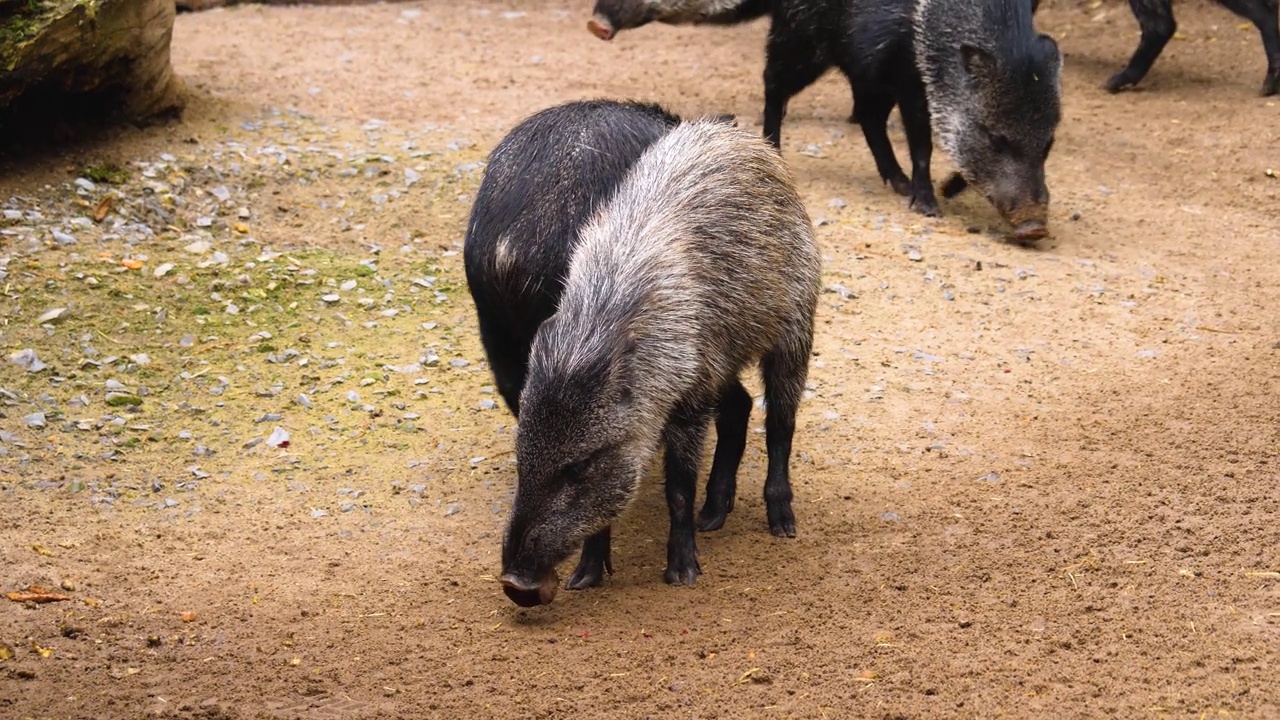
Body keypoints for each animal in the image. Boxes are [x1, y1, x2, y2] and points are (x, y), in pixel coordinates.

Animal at [499, 116, 819, 604]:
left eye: (579, 467)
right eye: (522, 459)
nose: (517, 585)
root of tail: (754, 143)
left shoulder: (689, 402)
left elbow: (678, 490)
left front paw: (683, 572)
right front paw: (586, 576)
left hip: (794, 333)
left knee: (781, 424)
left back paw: (781, 521)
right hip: (723, 364)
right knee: (741, 407)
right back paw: (714, 515)